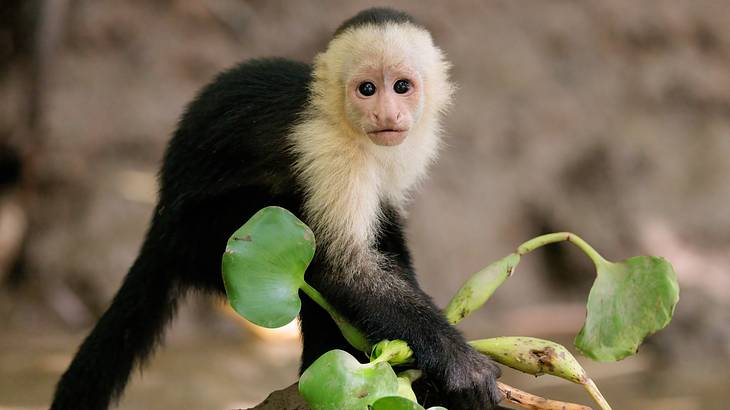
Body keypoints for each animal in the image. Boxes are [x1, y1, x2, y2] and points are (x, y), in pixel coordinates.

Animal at [51, 7, 500, 410]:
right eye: (367, 89)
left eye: (402, 86)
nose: (386, 113)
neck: (344, 123)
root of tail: (160, 222)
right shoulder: (328, 149)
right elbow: (344, 269)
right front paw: (460, 365)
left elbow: (383, 230)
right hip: (211, 236)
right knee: (304, 249)